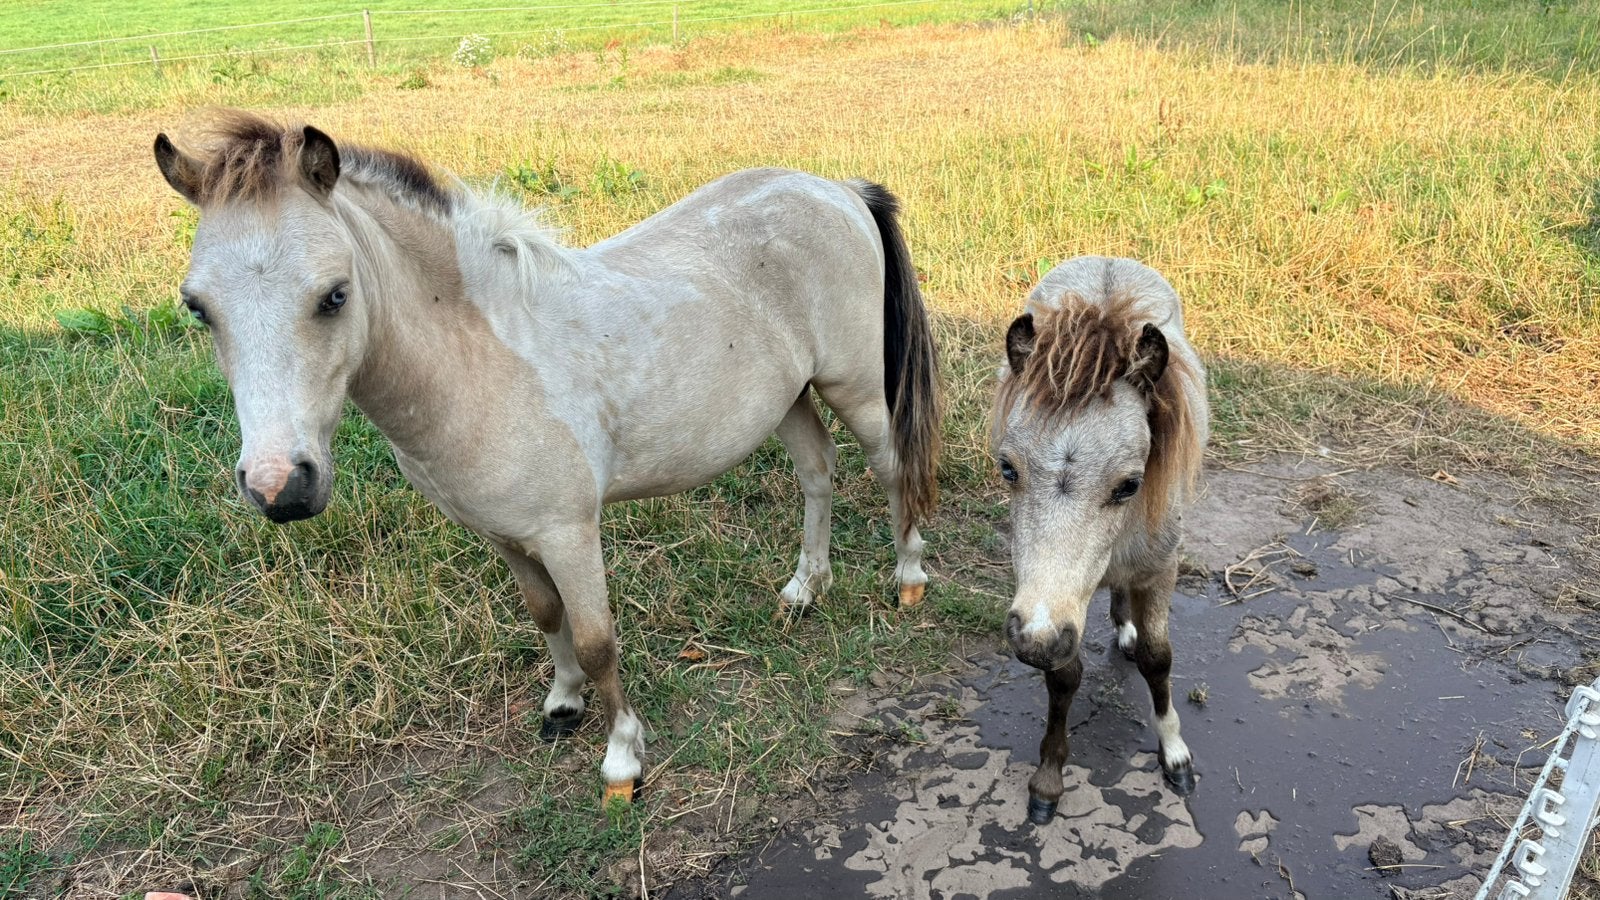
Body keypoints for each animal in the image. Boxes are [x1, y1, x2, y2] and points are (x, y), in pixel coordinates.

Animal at [152, 111, 941, 804]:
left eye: (334, 296)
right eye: (198, 307)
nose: (279, 487)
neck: (481, 358)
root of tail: (838, 189)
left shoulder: (569, 532)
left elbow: (596, 641)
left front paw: (622, 760)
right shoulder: (505, 533)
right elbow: (544, 614)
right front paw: (562, 704)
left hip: (854, 387)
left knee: (891, 468)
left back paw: (908, 578)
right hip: (789, 398)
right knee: (817, 472)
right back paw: (805, 589)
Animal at [990, 256, 1208, 824]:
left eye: (1130, 484)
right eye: (1007, 469)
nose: (1035, 639)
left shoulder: (1161, 570)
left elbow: (1158, 658)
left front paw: (1175, 755)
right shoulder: (1057, 604)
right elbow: (1063, 678)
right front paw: (1048, 781)